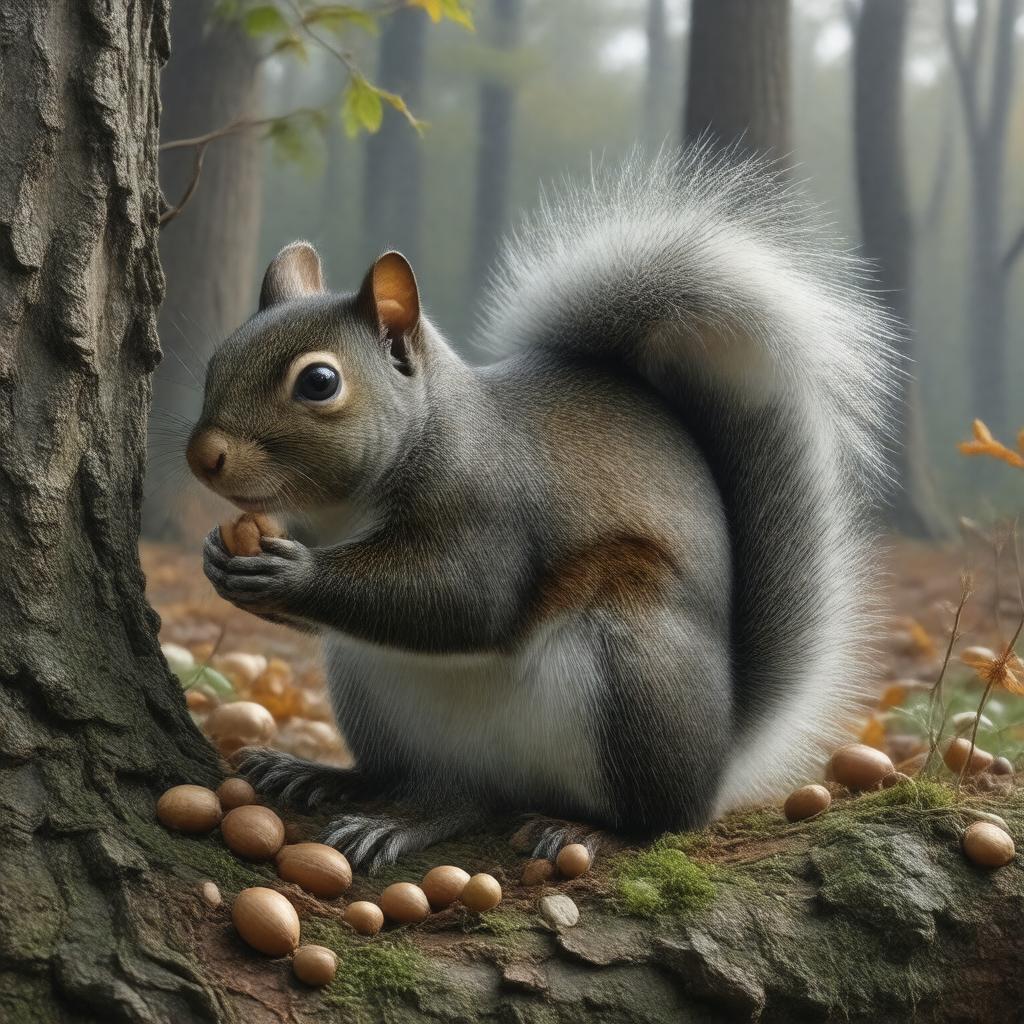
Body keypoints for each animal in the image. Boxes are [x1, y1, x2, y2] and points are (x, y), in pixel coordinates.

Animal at [187, 150, 895, 869]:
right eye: (216, 359)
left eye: (320, 382)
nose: (204, 455)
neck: (345, 513)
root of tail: (720, 755)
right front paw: (223, 562)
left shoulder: (492, 512)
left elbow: (466, 598)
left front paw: (291, 574)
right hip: (370, 689)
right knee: (446, 794)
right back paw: (337, 782)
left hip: (632, 675)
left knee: (657, 817)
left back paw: (590, 831)